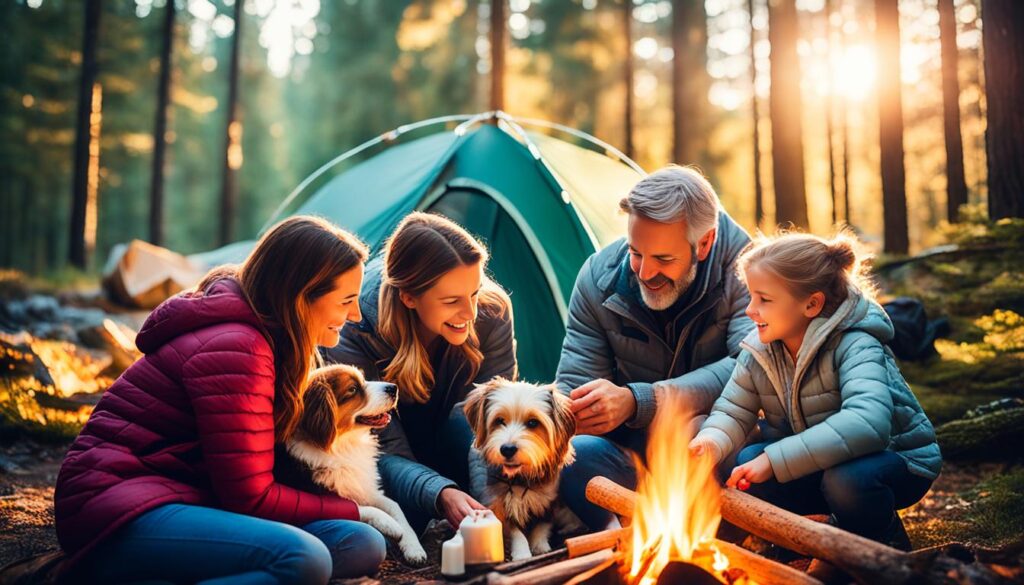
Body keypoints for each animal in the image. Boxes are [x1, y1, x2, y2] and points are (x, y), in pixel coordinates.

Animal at [276, 366, 428, 561]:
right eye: (353, 389)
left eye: (363, 379)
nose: (393, 388)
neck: (343, 445)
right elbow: (358, 507)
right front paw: (390, 524)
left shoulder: (363, 487)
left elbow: (395, 506)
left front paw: (413, 547)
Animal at [464, 377, 585, 561]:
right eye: (500, 421)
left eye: (533, 422)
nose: (507, 449)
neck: (520, 479)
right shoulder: (499, 505)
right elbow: (516, 532)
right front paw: (522, 552)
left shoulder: (549, 501)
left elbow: (542, 526)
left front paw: (540, 545)